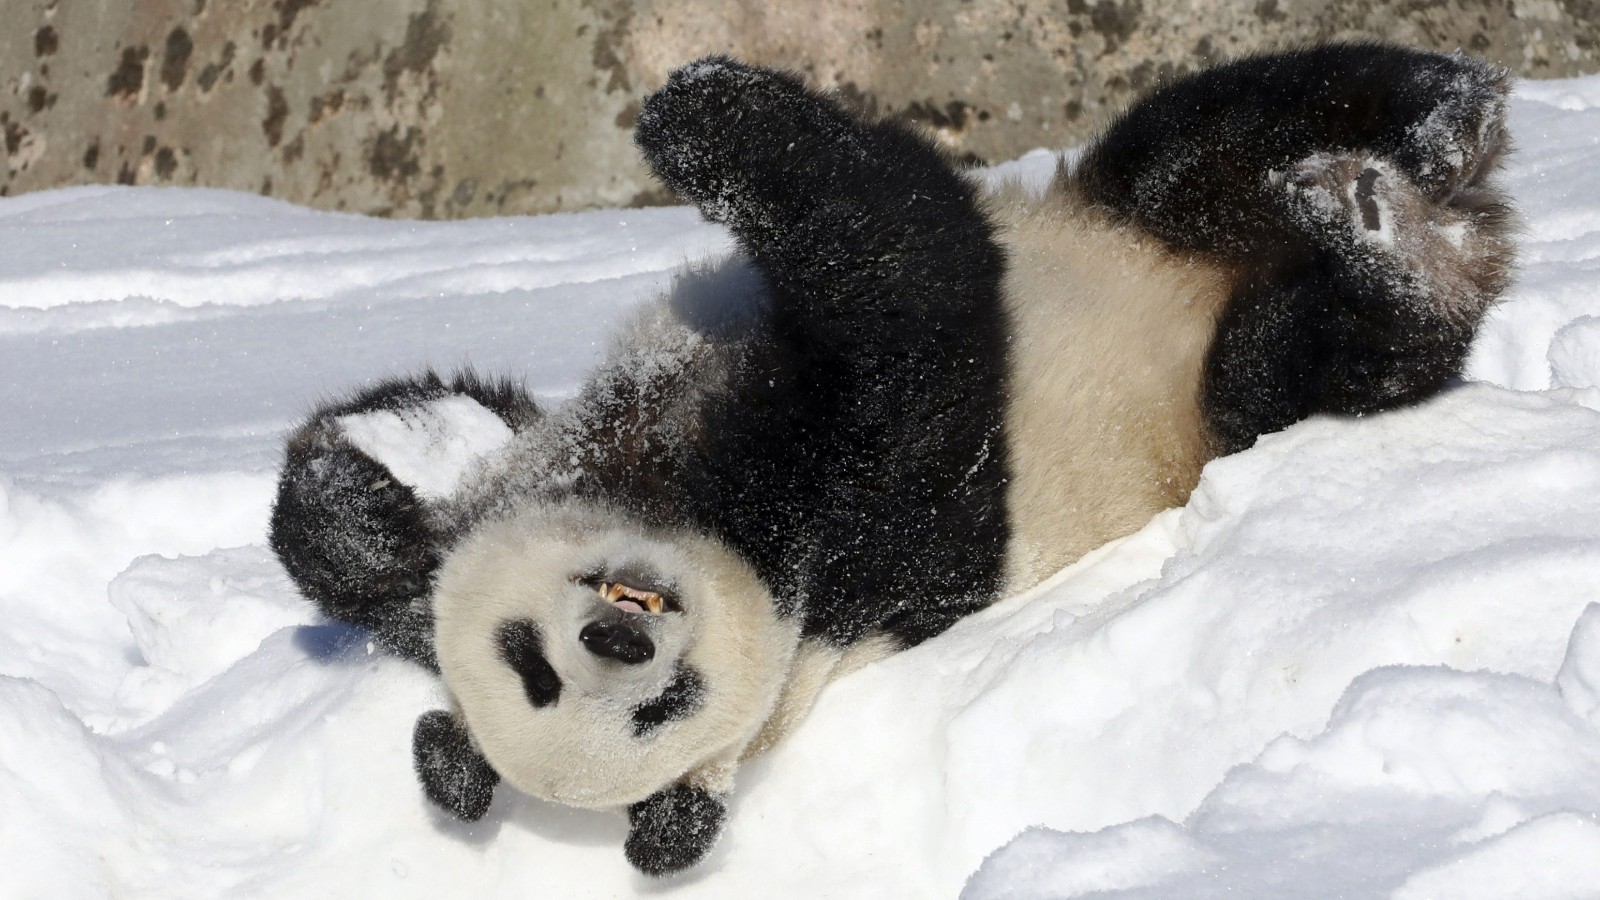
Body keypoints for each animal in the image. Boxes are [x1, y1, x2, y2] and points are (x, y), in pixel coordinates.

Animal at [268, 43, 1514, 876]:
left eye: (528, 660)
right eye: (655, 711)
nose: (619, 637)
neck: (685, 492)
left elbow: (378, 515)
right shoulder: (872, 532)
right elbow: (906, 284)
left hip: (1140, 212)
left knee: (1218, 124)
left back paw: (1434, 126)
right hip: (1225, 395)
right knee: (1320, 353)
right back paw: (1392, 240)